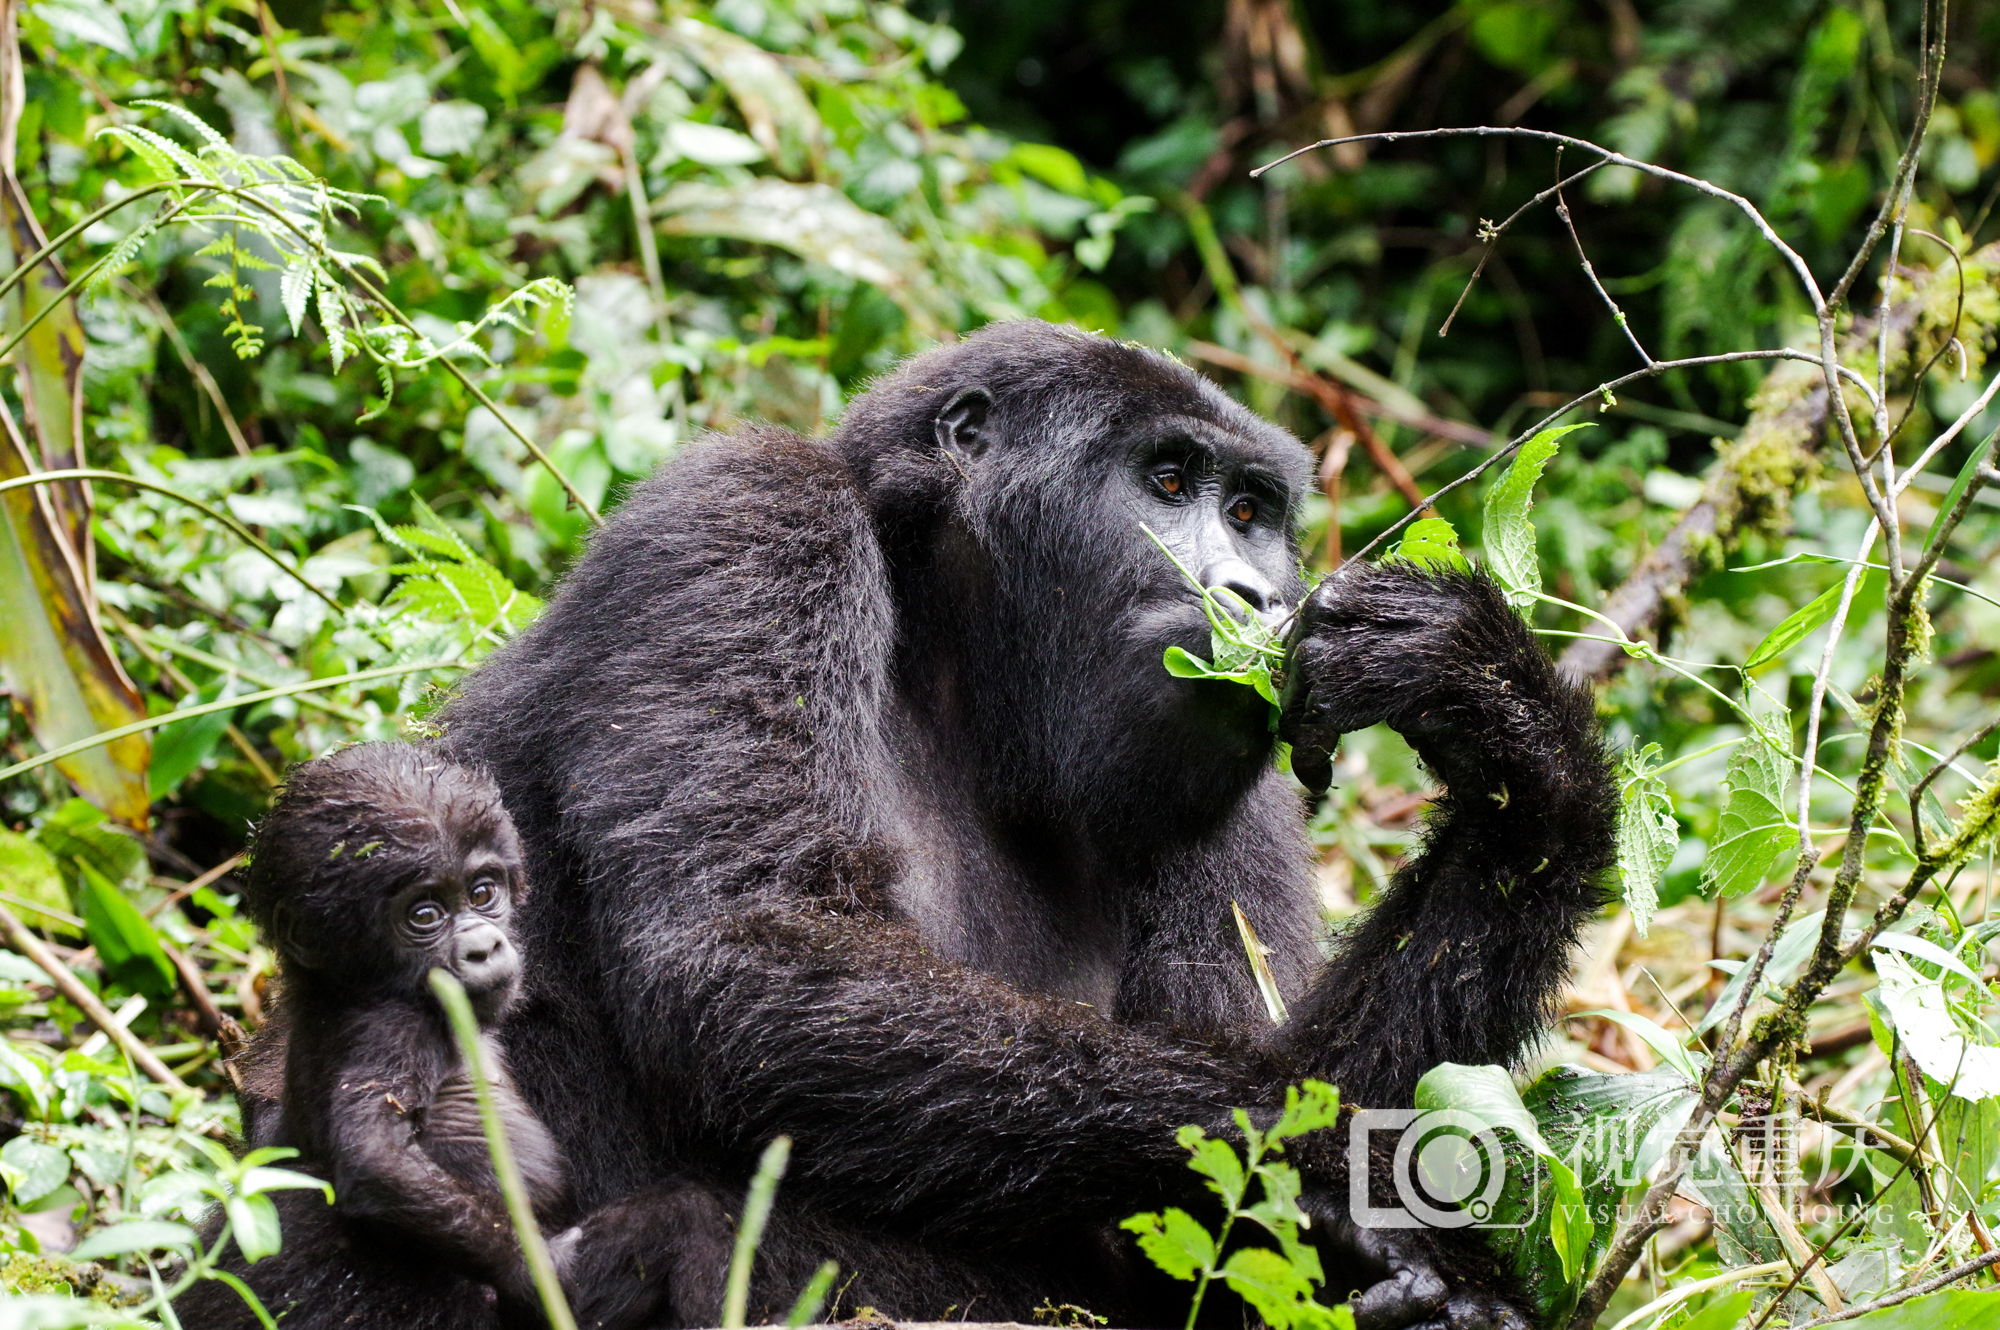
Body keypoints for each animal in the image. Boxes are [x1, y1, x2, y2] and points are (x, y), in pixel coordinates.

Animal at [174, 748, 728, 1328]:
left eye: (483, 893)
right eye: (424, 915)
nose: (485, 947)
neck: (341, 986)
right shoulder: (393, 1029)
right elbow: (374, 1159)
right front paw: (531, 1272)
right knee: (687, 1221)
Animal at [434, 322, 1608, 1328]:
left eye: (1251, 513)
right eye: (1167, 483)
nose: (1248, 593)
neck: (948, 657)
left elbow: (1301, 1075)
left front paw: (1497, 718)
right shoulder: (746, 516)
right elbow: (744, 950)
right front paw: (1323, 1165)